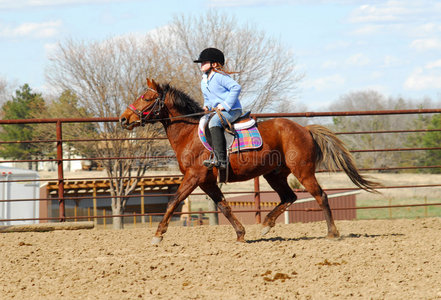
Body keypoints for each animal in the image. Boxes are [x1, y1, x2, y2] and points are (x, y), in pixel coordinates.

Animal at [119, 79, 378, 244]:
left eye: (146, 98)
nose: (123, 118)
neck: (189, 133)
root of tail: (304, 129)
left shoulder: (194, 177)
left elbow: (173, 201)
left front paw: (158, 235)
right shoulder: (206, 181)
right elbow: (223, 206)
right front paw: (241, 234)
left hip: (303, 172)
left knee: (320, 196)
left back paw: (332, 233)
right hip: (274, 174)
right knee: (289, 197)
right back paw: (265, 225)